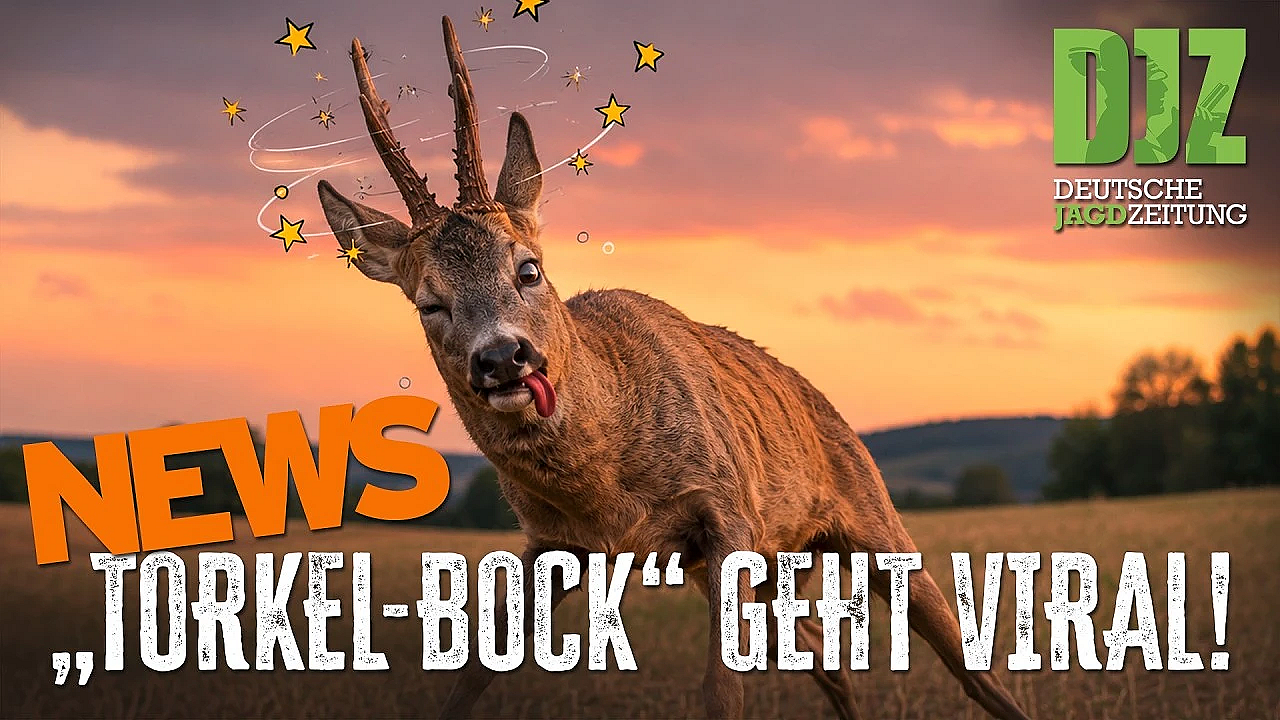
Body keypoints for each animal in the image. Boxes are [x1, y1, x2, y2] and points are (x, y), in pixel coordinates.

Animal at [318, 16, 1033, 720]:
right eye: (428, 303)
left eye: (529, 268)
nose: (502, 357)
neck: (609, 490)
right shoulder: (554, 544)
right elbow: (471, 672)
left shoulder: (727, 511)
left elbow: (723, 690)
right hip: (775, 563)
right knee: (824, 654)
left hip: (873, 519)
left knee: (969, 666)